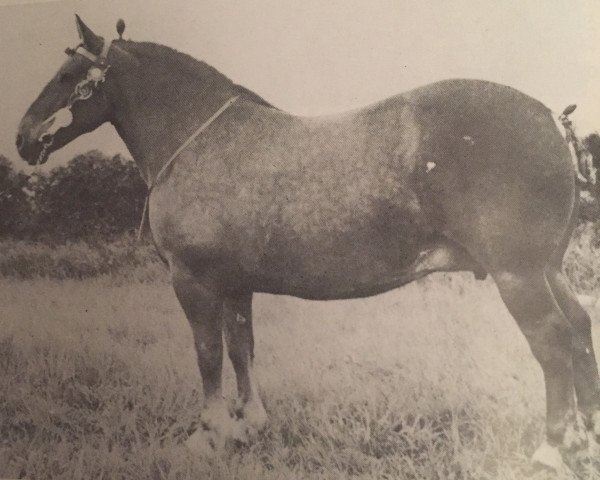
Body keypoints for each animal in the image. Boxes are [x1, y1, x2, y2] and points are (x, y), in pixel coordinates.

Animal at [16, 15, 596, 472]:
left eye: (68, 76)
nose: (23, 139)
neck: (197, 139)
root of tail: (550, 118)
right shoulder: (235, 284)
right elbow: (241, 347)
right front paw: (248, 424)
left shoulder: (192, 280)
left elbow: (207, 352)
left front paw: (208, 434)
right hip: (550, 269)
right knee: (580, 329)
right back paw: (584, 439)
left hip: (518, 275)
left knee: (552, 341)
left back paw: (551, 449)